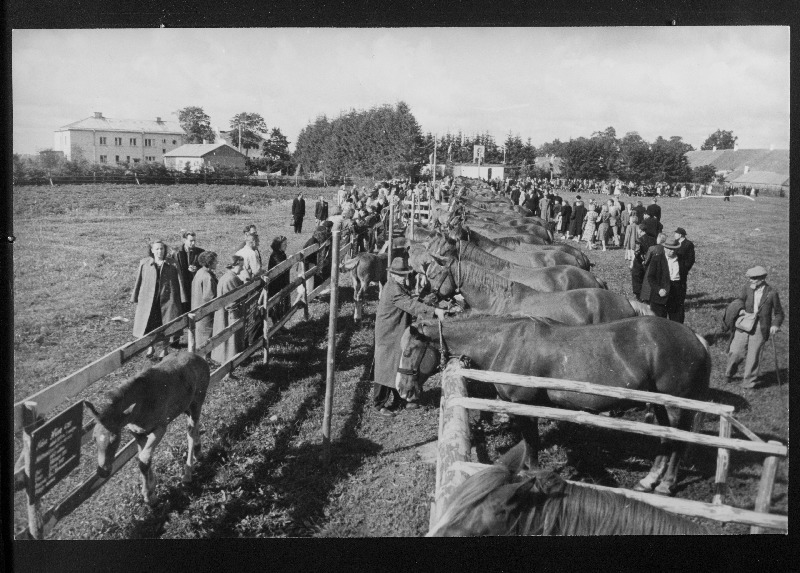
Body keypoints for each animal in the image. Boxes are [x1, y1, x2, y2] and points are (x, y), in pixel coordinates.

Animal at [85, 350, 211, 502]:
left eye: (114, 440)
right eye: (93, 438)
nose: (103, 471)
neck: (141, 405)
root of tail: (198, 356)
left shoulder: (160, 429)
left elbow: (144, 459)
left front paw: (149, 496)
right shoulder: (138, 434)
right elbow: (143, 459)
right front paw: (152, 486)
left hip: (197, 403)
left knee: (191, 433)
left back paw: (188, 473)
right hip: (186, 407)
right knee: (194, 428)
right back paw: (198, 452)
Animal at [396, 316, 708, 494]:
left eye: (410, 351)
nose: (402, 390)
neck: (505, 343)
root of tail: (696, 339)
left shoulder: (525, 404)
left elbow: (532, 444)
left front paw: (531, 476)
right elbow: (529, 443)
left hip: (675, 407)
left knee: (677, 444)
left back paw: (666, 484)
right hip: (660, 405)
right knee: (665, 440)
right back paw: (649, 480)